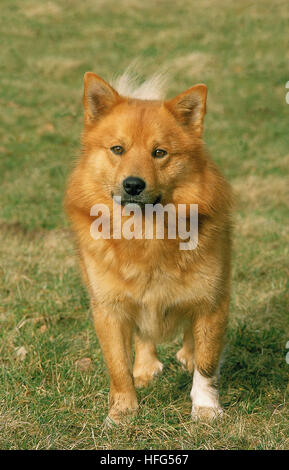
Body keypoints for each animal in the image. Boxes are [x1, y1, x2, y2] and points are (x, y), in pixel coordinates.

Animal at [64, 70, 232, 426]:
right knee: (143, 336)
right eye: (117, 149)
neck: (146, 233)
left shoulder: (212, 302)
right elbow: (118, 366)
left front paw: (205, 408)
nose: (132, 185)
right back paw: (145, 368)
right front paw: (123, 412)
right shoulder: (108, 308)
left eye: (160, 152)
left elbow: (207, 363)